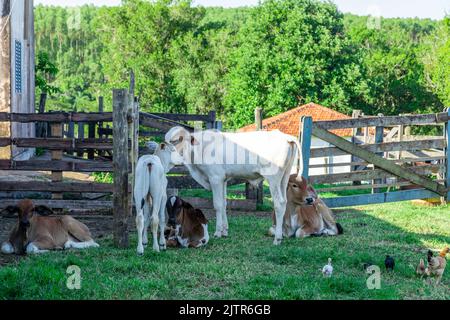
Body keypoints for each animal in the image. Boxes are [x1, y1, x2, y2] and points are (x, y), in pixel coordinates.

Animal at [164, 125, 298, 245]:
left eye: (176, 140)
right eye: (167, 141)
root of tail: (285, 137)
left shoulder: (215, 178)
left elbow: (218, 205)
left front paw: (218, 232)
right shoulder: (223, 180)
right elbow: (224, 204)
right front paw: (225, 231)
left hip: (273, 178)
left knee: (279, 204)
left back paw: (277, 238)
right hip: (284, 177)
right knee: (285, 202)